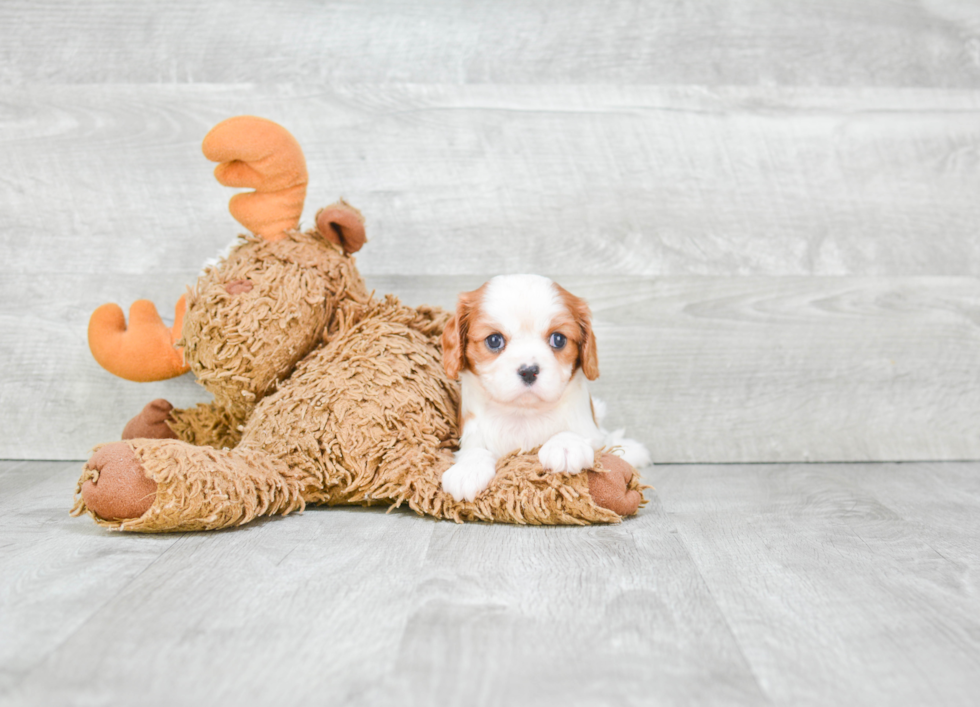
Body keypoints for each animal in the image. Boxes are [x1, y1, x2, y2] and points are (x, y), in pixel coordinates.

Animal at [440, 276, 648, 504]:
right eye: (494, 340)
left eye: (558, 339)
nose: (529, 371)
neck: (524, 414)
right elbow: (474, 449)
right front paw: (468, 469)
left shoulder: (590, 430)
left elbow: (583, 435)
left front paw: (566, 445)